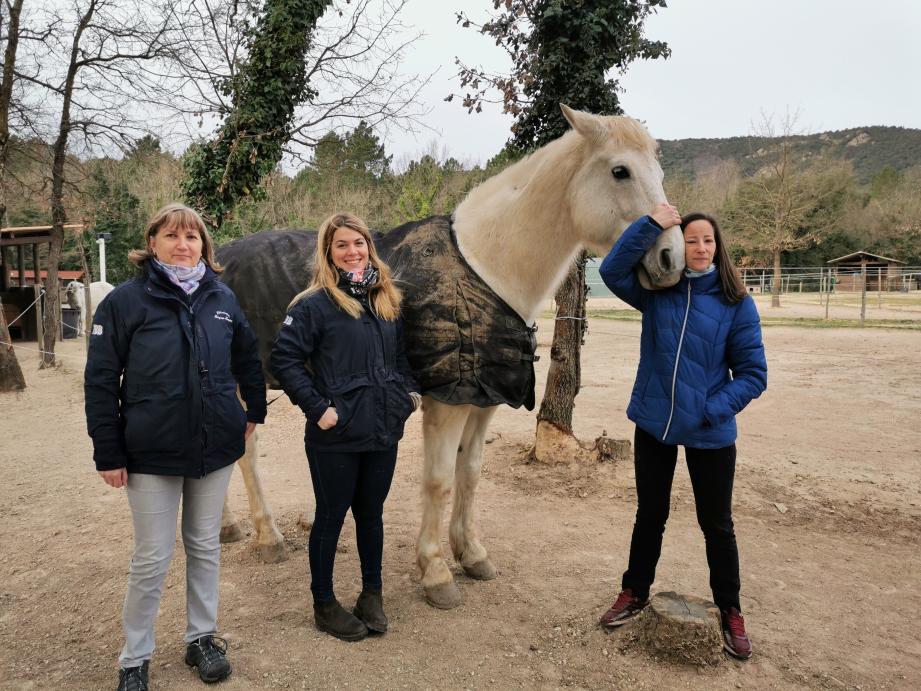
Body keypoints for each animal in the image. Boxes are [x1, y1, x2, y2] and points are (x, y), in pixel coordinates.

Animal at [219, 105, 688, 608]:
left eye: (659, 172)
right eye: (620, 171)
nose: (671, 259)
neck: (486, 267)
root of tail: (218, 256)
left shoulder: (484, 400)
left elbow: (470, 474)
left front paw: (471, 553)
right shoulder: (447, 401)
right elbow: (439, 480)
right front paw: (436, 572)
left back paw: (229, 528)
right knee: (245, 451)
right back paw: (267, 538)